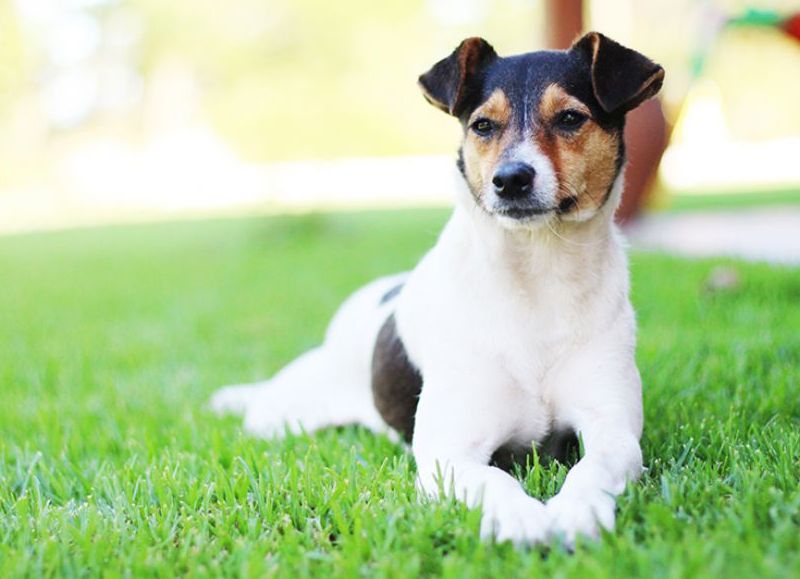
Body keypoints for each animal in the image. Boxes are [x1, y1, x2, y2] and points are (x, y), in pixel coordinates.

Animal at [211, 31, 664, 548]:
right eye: (483, 125)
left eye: (570, 118)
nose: (510, 179)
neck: (536, 275)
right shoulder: (450, 452)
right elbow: (495, 479)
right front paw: (520, 518)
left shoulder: (614, 431)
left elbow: (593, 467)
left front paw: (577, 511)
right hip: (279, 415)